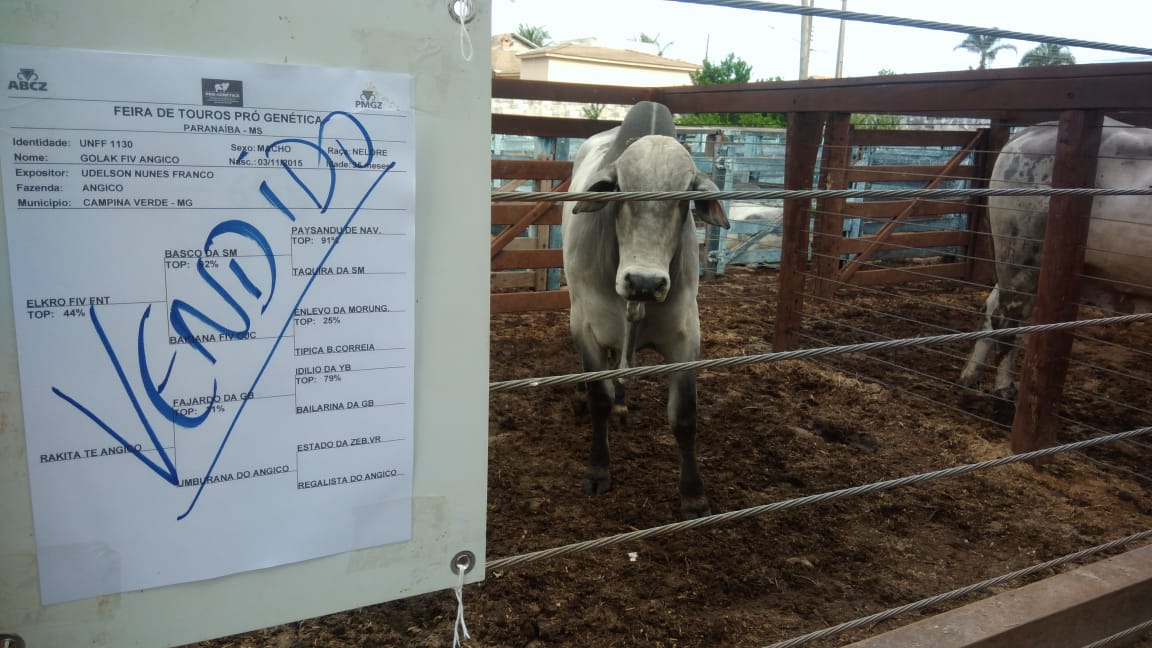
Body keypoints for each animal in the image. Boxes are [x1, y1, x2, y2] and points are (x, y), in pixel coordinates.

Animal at [559, 100, 728, 516]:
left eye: (685, 196)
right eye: (620, 190)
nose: (645, 282)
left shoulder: (687, 337)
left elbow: (684, 416)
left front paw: (693, 495)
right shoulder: (584, 328)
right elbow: (598, 399)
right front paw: (598, 471)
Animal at [953, 116, 1152, 398]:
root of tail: (1030, 132)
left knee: (997, 310)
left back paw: (974, 376)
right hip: (1024, 259)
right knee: (1007, 320)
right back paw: (1002, 388)